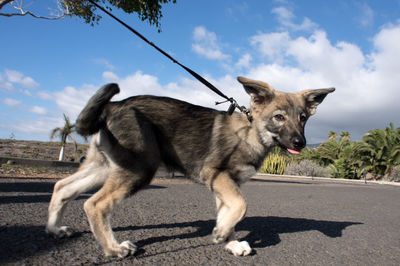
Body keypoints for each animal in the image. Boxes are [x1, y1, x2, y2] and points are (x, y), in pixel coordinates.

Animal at [45, 76, 334, 258]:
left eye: (303, 118)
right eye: (279, 117)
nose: (300, 142)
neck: (252, 133)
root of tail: (114, 105)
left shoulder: (224, 185)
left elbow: (229, 212)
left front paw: (227, 239)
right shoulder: (215, 175)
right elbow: (241, 206)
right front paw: (223, 235)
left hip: (106, 165)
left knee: (62, 187)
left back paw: (55, 229)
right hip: (138, 169)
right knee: (95, 204)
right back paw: (114, 249)